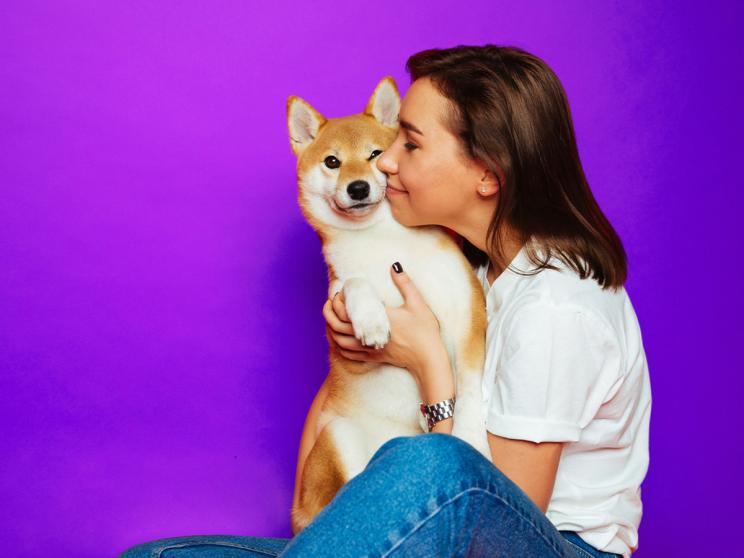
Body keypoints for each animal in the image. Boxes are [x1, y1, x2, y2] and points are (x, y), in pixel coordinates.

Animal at [288, 76, 492, 536]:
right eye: (332, 162)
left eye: (375, 155)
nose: (359, 187)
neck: (384, 242)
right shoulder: (341, 313)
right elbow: (357, 284)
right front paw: (372, 320)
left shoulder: (468, 316)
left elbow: (471, 390)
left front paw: (472, 437)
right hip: (340, 437)